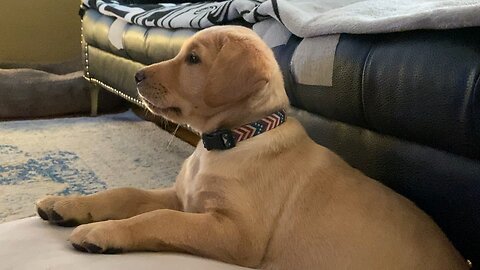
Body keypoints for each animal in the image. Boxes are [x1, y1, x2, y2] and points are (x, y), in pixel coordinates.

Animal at [36, 25, 468, 270]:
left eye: (193, 59)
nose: (139, 75)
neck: (232, 140)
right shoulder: (183, 197)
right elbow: (126, 193)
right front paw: (66, 204)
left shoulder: (235, 232)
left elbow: (157, 219)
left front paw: (101, 232)